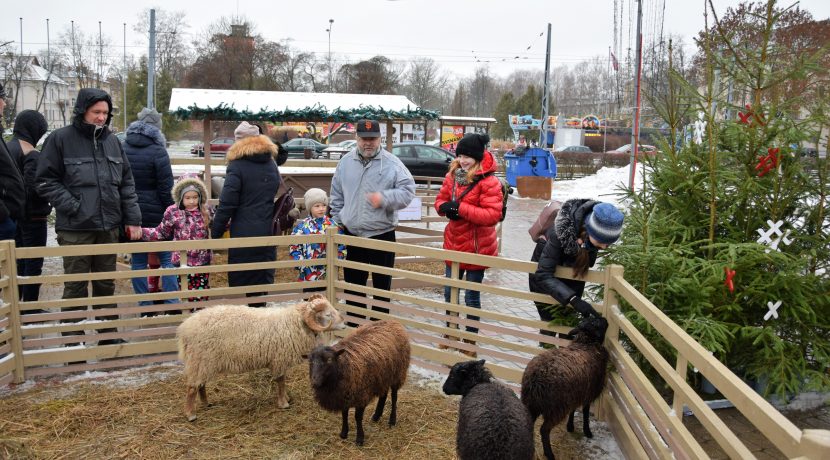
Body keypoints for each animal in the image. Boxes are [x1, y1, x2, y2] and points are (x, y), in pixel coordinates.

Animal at [177, 294, 346, 420]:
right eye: (328, 314)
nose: (345, 324)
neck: (296, 323)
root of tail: (185, 328)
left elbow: (283, 381)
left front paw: (286, 398)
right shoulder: (279, 358)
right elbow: (280, 381)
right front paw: (283, 403)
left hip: (202, 362)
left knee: (200, 384)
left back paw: (206, 403)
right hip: (201, 358)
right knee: (192, 387)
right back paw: (190, 414)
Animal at [520, 316, 612, 460]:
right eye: (596, 323)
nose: (604, 318)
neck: (586, 343)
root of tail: (536, 380)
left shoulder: (576, 392)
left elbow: (573, 409)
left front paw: (570, 426)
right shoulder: (588, 392)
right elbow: (585, 412)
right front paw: (587, 431)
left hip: (531, 403)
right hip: (556, 408)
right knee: (544, 430)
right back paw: (549, 454)